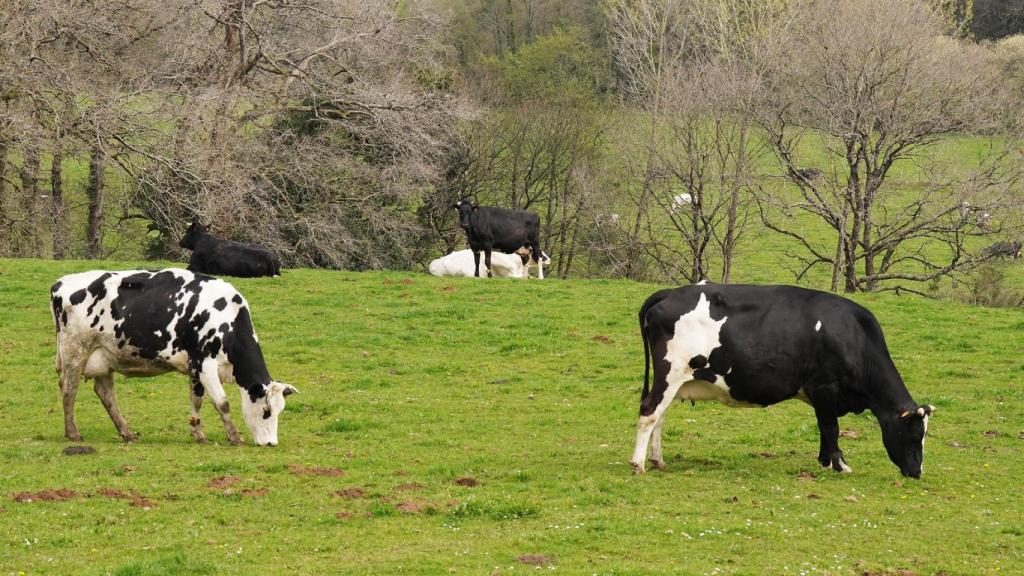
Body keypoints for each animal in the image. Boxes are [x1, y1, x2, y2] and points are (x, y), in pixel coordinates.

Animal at [50, 269, 297, 446]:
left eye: (280, 410)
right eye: (266, 411)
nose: (271, 443)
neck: (227, 318)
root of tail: (60, 282)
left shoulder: (196, 367)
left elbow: (197, 400)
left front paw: (198, 432)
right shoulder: (206, 365)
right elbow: (223, 403)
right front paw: (234, 437)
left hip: (104, 357)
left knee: (106, 395)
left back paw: (127, 433)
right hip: (75, 352)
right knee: (69, 390)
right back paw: (73, 433)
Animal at [631, 284, 935, 478]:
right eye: (915, 435)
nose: (917, 472)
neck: (852, 334)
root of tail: (670, 292)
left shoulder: (820, 396)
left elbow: (823, 428)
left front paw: (825, 461)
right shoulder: (825, 387)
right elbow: (831, 428)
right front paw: (840, 465)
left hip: (675, 381)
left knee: (660, 417)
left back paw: (658, 460)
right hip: (670, 373)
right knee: (649, 412)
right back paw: (638, 464)